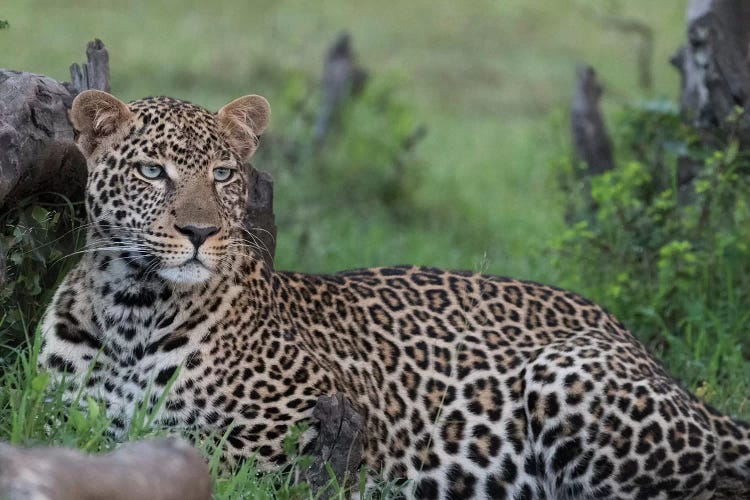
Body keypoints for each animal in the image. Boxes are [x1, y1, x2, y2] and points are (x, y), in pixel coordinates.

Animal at [39, 91, 750, 500]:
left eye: (222, 175)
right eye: (150, 171)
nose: (199, 232)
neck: (134, 309)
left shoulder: (313, 416)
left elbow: (214, 454)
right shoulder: (60, 419)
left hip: (566, 372)